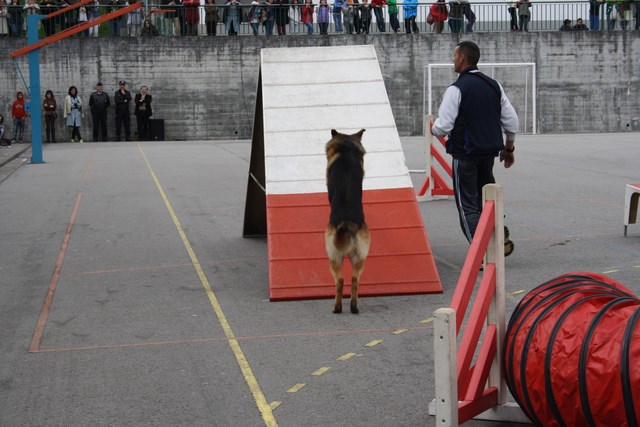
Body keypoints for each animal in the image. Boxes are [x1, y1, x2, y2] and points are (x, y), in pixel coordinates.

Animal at [324, 130, 370, 314]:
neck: (347, 147)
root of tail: (347, 222)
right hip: (360, 257)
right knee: (354, 280)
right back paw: (354, 307)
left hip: (333, 256)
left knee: (340, 280)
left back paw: (337, 307)